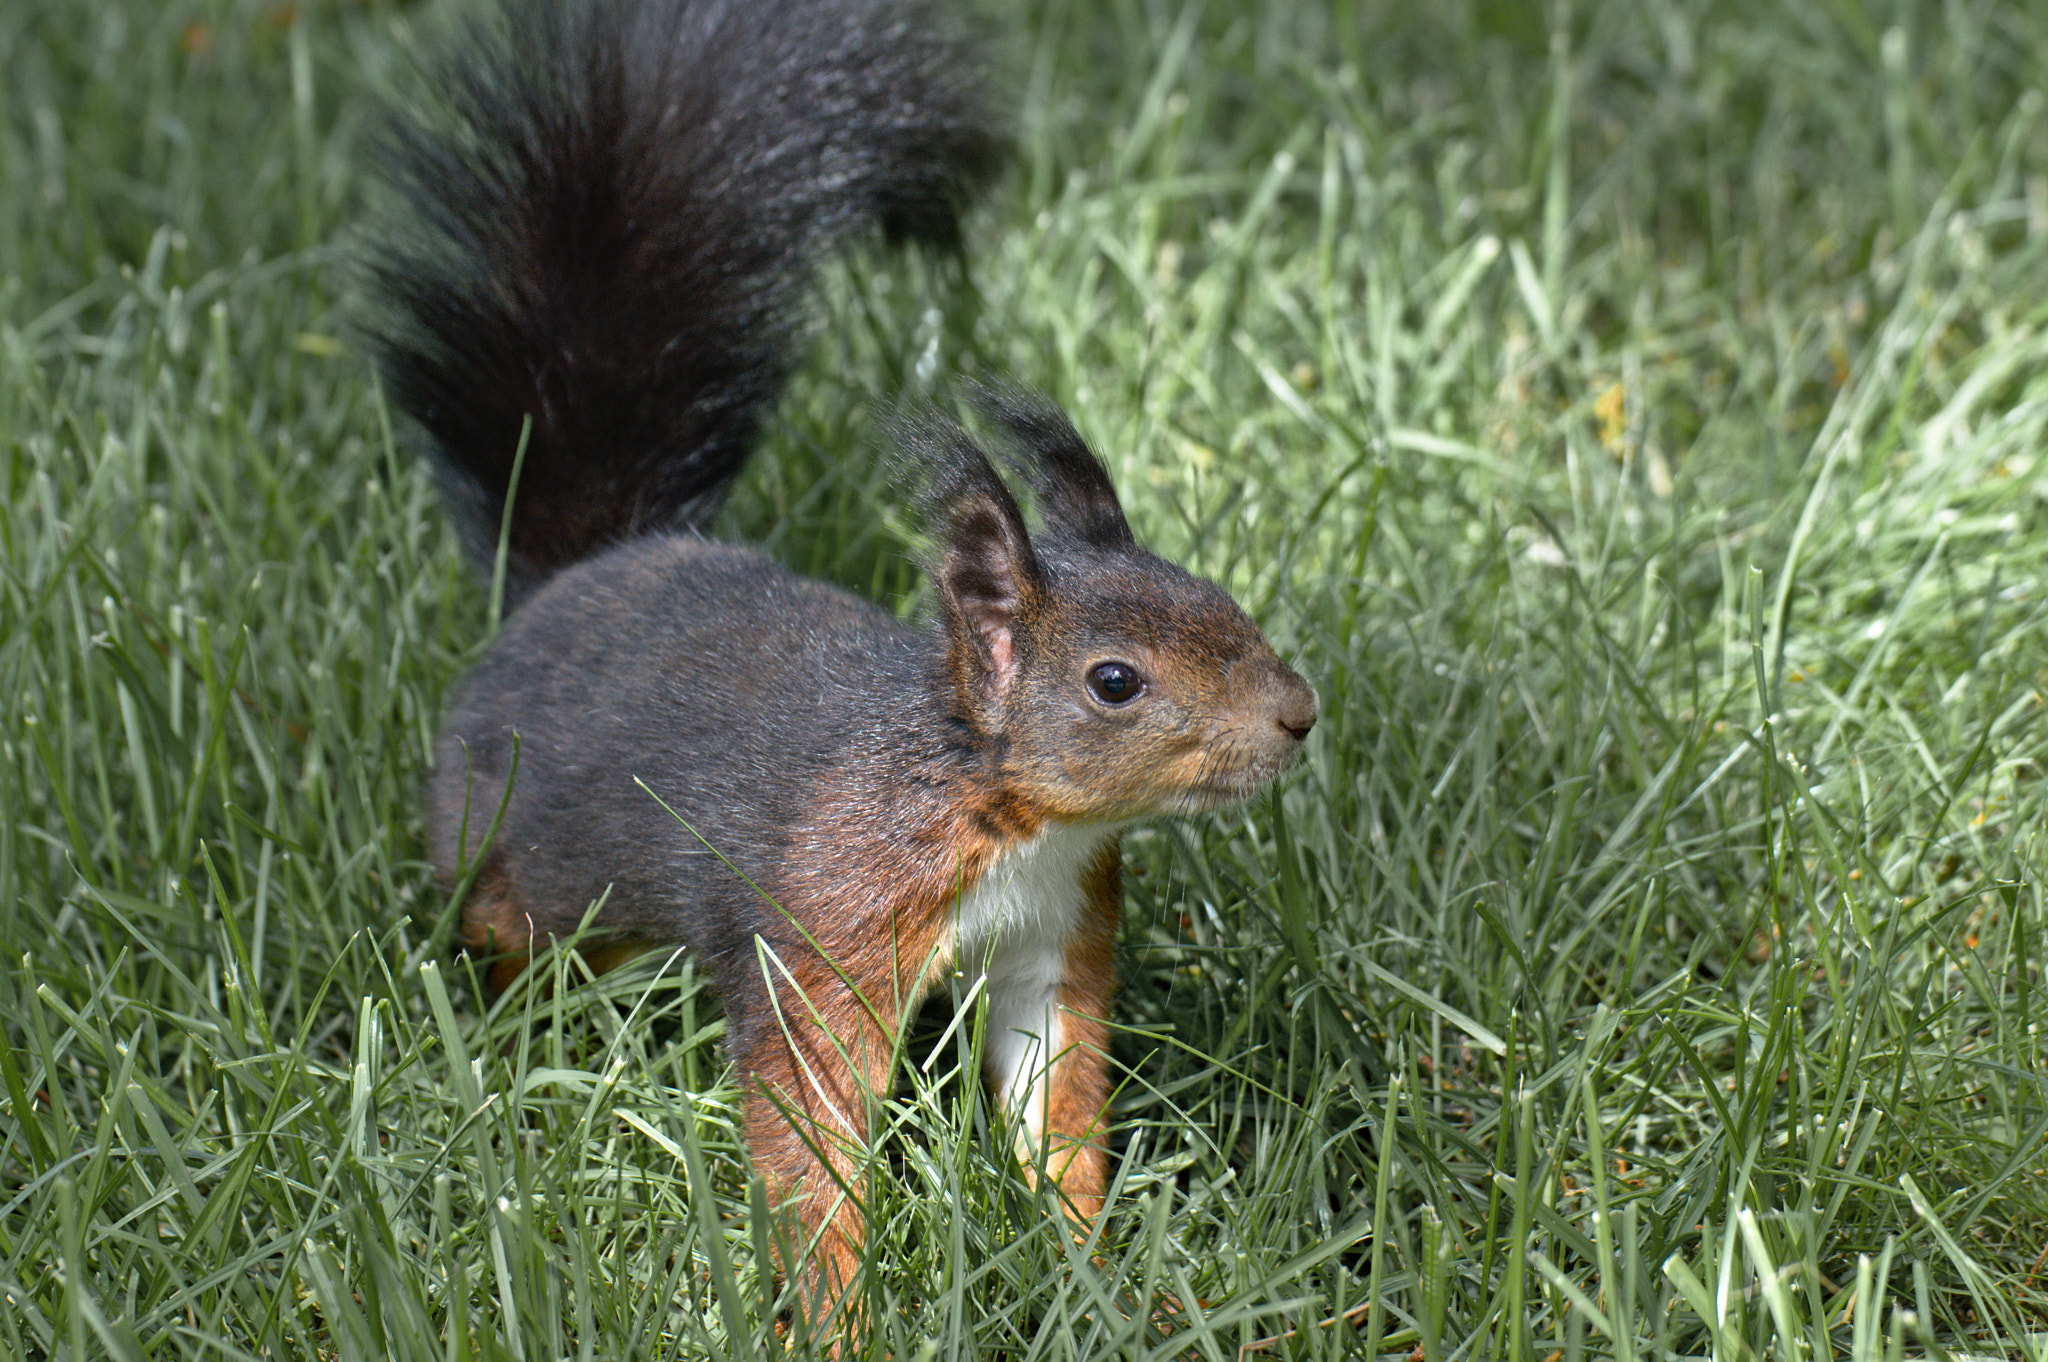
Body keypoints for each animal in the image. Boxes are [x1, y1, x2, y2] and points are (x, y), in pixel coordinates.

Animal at [363, 0, 1318, 1335]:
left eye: (1220, 599)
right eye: (1113, 682)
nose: (1297, 715)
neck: (1002, 812)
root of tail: (574, 574)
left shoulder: (1051, 938)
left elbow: (1052, 1105)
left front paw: (1087, 1277)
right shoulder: (830, 922)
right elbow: (809, 1132)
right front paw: (836, 1319)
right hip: (516, 853)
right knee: (506, 938)